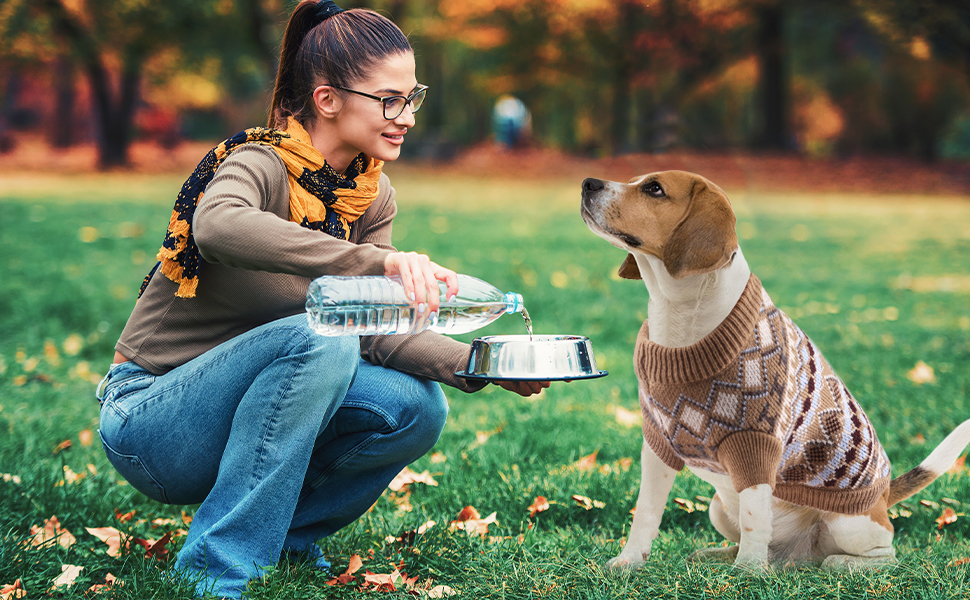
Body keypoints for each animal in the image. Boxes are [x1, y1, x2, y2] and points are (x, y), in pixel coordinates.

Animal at [580, 171, 968, 568]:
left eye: (654, 189)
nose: (589, 183)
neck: (681, 321)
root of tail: (885, 495)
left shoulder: (756, 445)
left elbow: (754, 514)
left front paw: (749, 572)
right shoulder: (658, 443)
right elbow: (646, 512)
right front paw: (629, 562)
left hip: (850, 524)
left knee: (883, 553)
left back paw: (836, 563)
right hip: (718, 508)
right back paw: (719, 555)